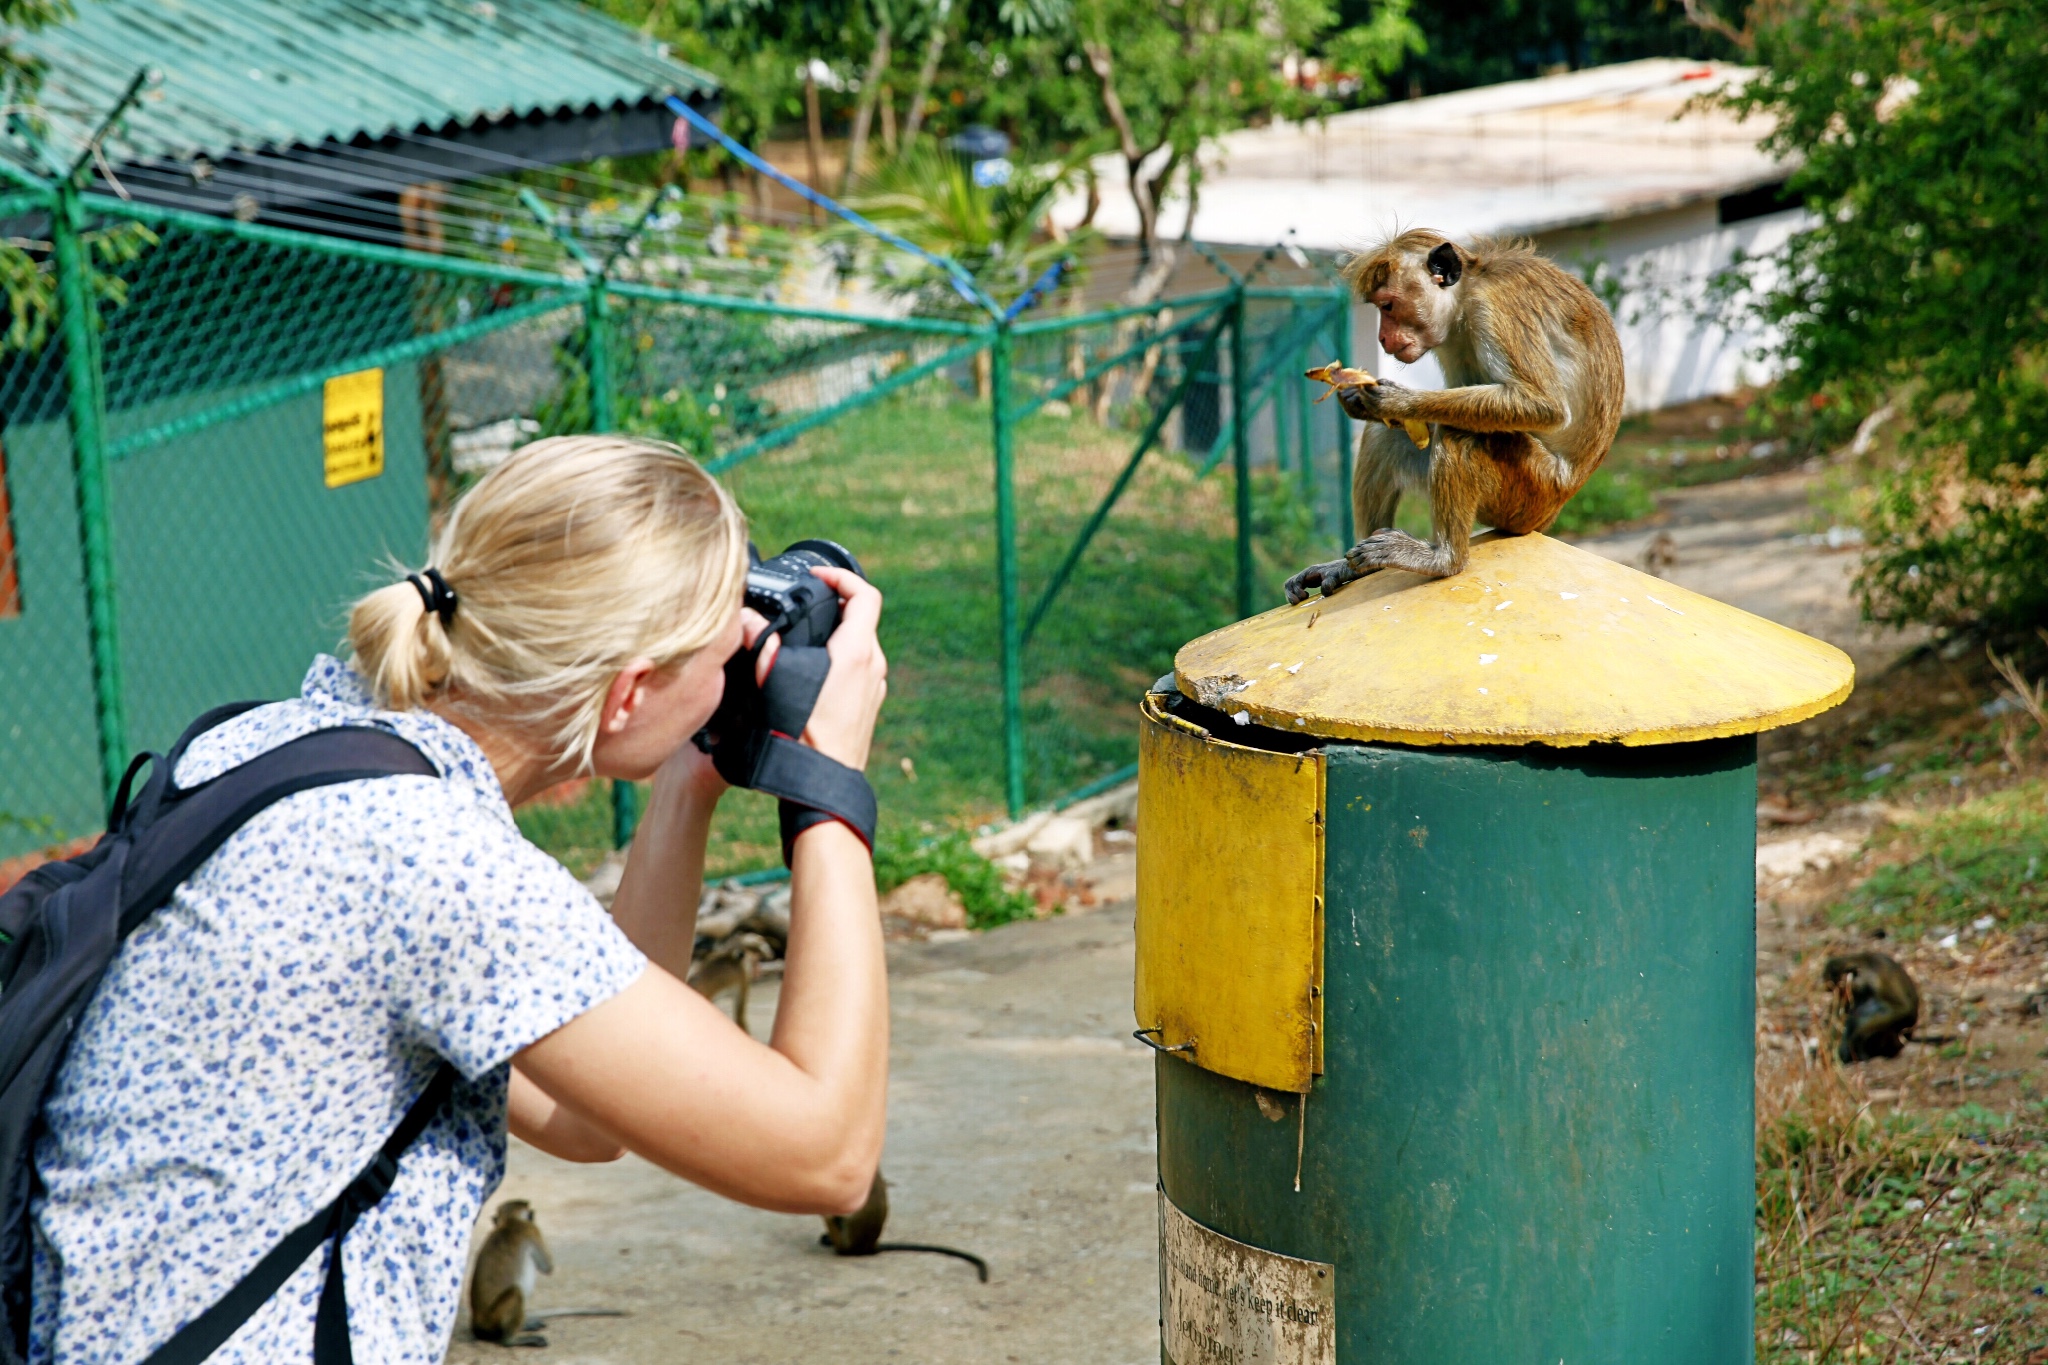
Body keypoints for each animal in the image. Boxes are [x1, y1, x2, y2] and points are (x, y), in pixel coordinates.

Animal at [468, 1203, 622, 1350]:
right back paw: (510, 1340)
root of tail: (477, 1321)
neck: (510, 1222)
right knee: (516, 1293)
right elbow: (547, 1267)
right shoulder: (532, 1229)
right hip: (494, 1317)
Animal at [1286, 232, 1622, 605]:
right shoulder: (1452, 335)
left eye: (1387, 306)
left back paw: (1443, 559)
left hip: (1531, 490)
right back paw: (1355, 567)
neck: (1467, 293)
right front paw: (1356, 399)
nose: (1383, 338)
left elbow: (1543, 405)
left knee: (1461, 433)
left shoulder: (1495, 308)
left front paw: (1398, 402)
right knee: (1391, 435)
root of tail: (1554, 509)